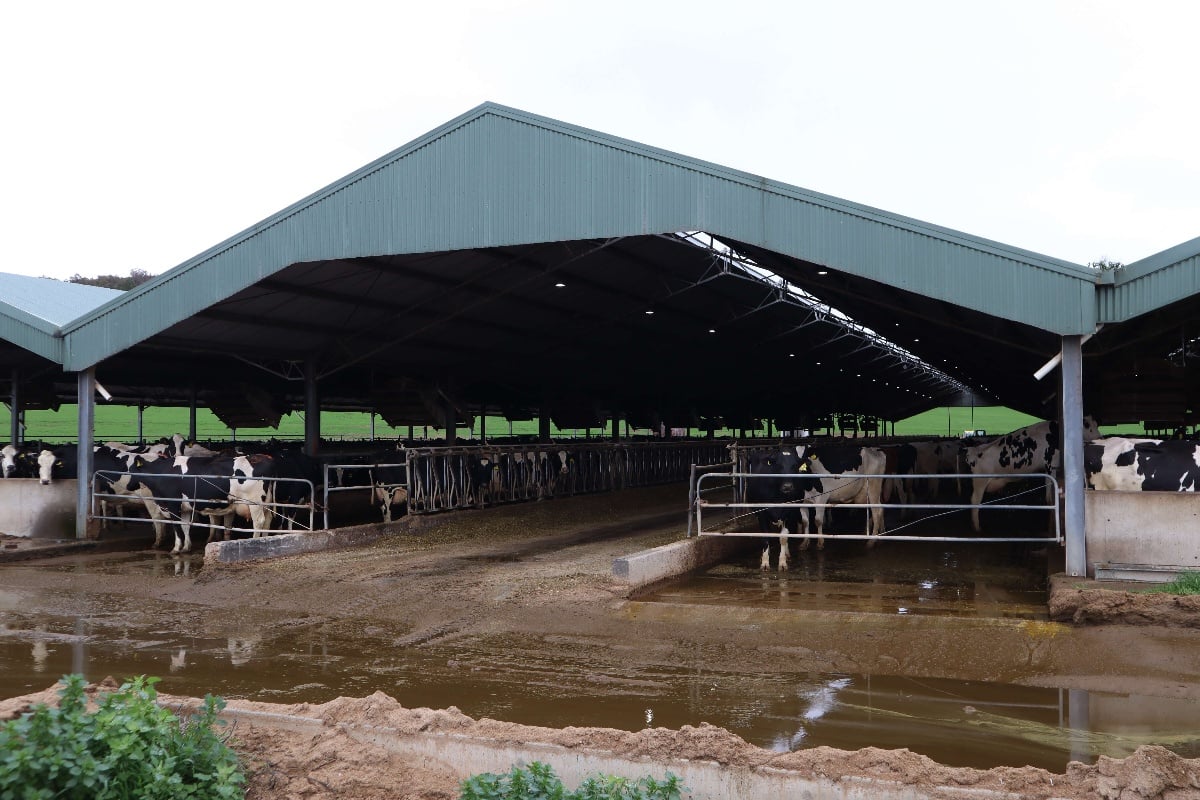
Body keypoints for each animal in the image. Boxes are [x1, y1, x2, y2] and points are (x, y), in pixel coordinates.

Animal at [960, 417, 1099, 534]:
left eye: (1097, 425)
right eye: (1088, 426)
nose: (1100, 436)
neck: (1055, 434)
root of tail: (971, 450)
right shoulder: (1050, 464)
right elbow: (1050, 487)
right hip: (980, 482)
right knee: (975, 501)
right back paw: (977, 527)